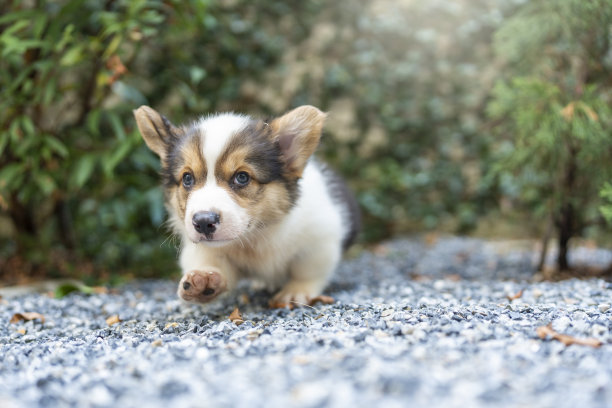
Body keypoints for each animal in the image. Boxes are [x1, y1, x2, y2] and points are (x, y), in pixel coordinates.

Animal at [131, 105, 356, 306]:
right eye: (187, 178)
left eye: (242, 177)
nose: (203, 222)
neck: (253, 237)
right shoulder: (207, 251)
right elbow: (214, 266)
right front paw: (203, 279)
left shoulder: (319, 241)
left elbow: (307, 272)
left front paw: (296, 291)